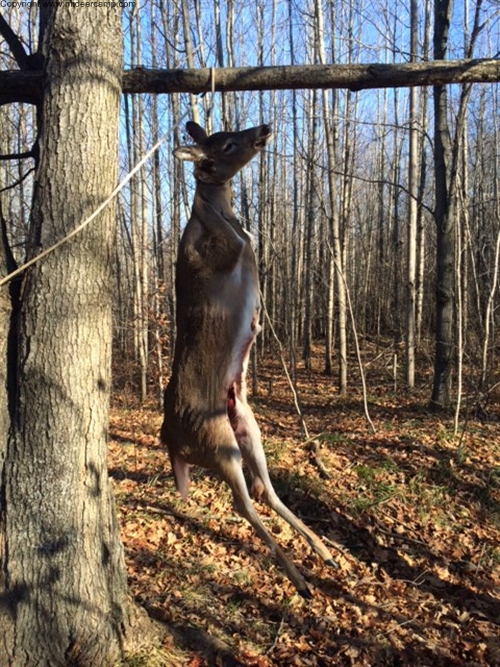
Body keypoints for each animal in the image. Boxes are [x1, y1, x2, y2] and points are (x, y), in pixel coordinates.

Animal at [161, 121, 336, 600]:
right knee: (244, 503)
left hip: (245, 428)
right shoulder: (229, 250)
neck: (218, 214)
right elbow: (247, 245)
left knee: (265, 490)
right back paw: (301, 577)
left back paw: (324, 552)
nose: (264, 128)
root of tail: (170, 440)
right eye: (226, 143)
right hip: (218, 442)